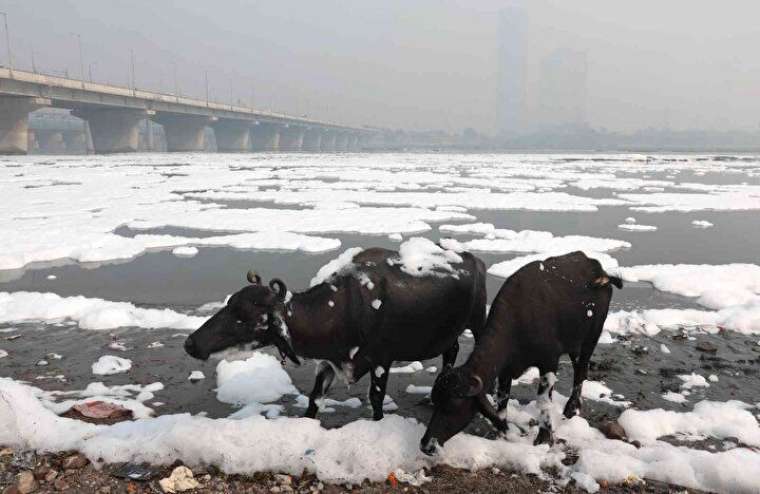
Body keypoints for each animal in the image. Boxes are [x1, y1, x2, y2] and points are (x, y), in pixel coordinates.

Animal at [184, 239, 486, 420]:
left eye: (246, 315)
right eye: (229, 303)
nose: (190, 343)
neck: (344, 309)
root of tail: (474, 260)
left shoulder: (381, 360)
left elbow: (376, 399)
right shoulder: (328, 362)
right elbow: (314, 399)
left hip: (478, 322)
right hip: (450, 333)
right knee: (452, 350)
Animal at [422, 253, 624, 454]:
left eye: (453, 405)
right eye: (436, 401)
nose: (426, 444)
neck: (518, 323)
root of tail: (599, 270)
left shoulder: (549, 362)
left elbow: (543, 402)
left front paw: (544, 438)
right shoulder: (506, 370)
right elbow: (502, 401)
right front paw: (500, 432)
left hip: (591, 338)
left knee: (582, 370)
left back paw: (571, 409)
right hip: (574, 344)